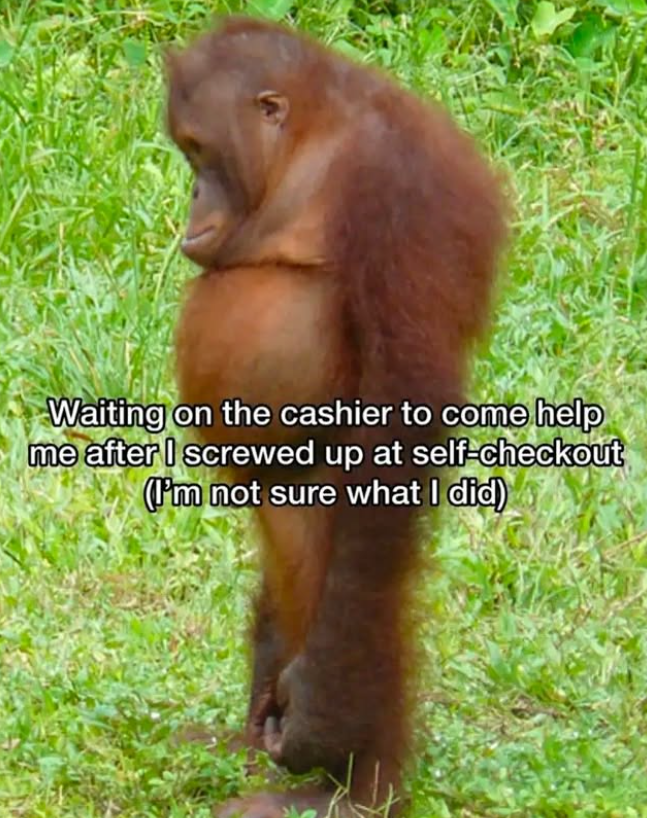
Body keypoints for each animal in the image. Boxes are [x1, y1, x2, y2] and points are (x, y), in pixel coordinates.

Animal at [166, 15, 507, 818]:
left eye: (199, 150)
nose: (191, 195)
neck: (310, 145)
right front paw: (263, 690)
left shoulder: (393, 191)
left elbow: (407, 398)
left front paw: (322, 717)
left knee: (358, 572)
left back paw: (351, 786)